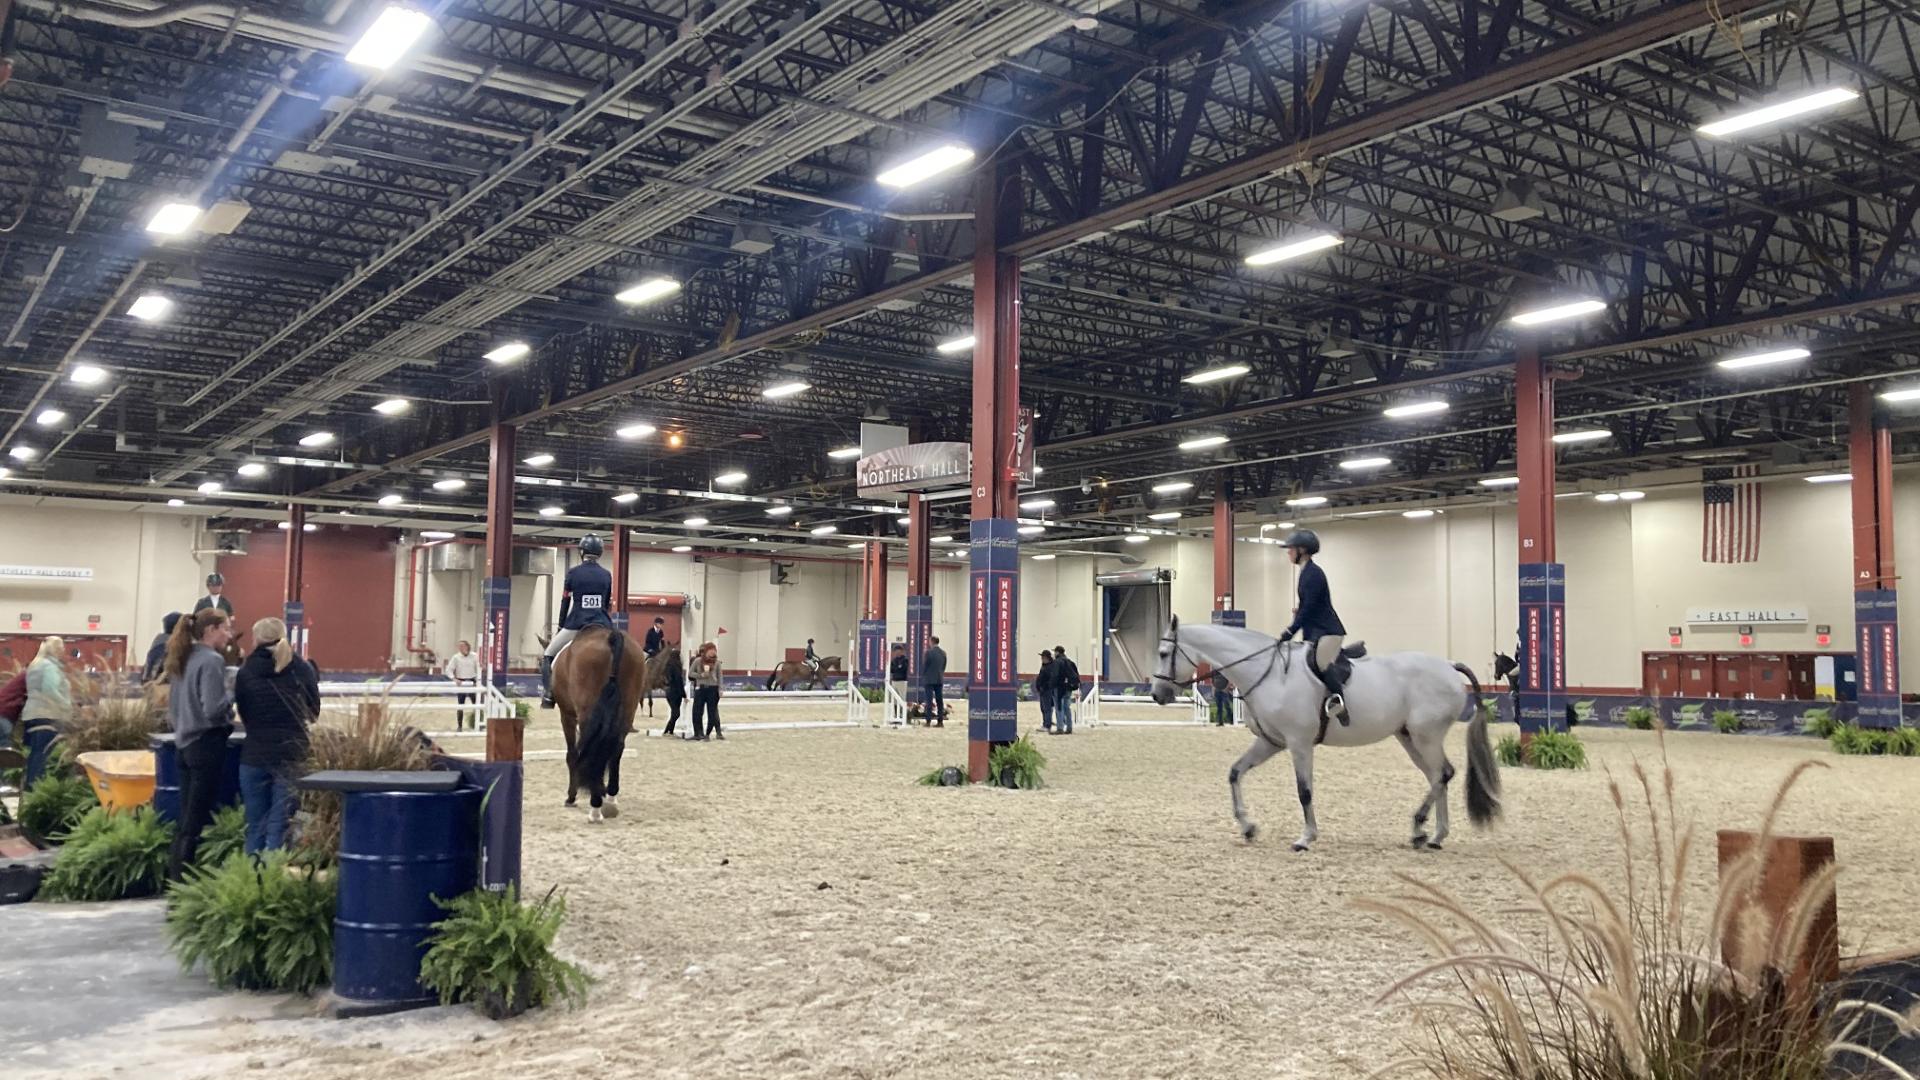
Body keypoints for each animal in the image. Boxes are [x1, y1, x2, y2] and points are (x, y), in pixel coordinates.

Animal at [552, 622, 648, 814]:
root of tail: (612, 636)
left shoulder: (567, 715)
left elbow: (572, 754)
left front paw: (571, 796)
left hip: (586, 712)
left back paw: (595, 803)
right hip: (628, 710)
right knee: (616, 748)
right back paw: (610, 798)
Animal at [1144, 614, 1505, 849]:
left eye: (1163, 654)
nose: (1157, 695)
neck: (1268, 673)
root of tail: (1449, 665)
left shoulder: (1299, 743)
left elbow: (1304, 791)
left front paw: (1306, 837)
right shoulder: (1271, 742)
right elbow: (1235, 773)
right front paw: (1247, 827)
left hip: (1425, 736)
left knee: (1442, 774)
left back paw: (1421, 826)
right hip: (1409, 738)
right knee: (1437, 776)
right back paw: (1431, 835)